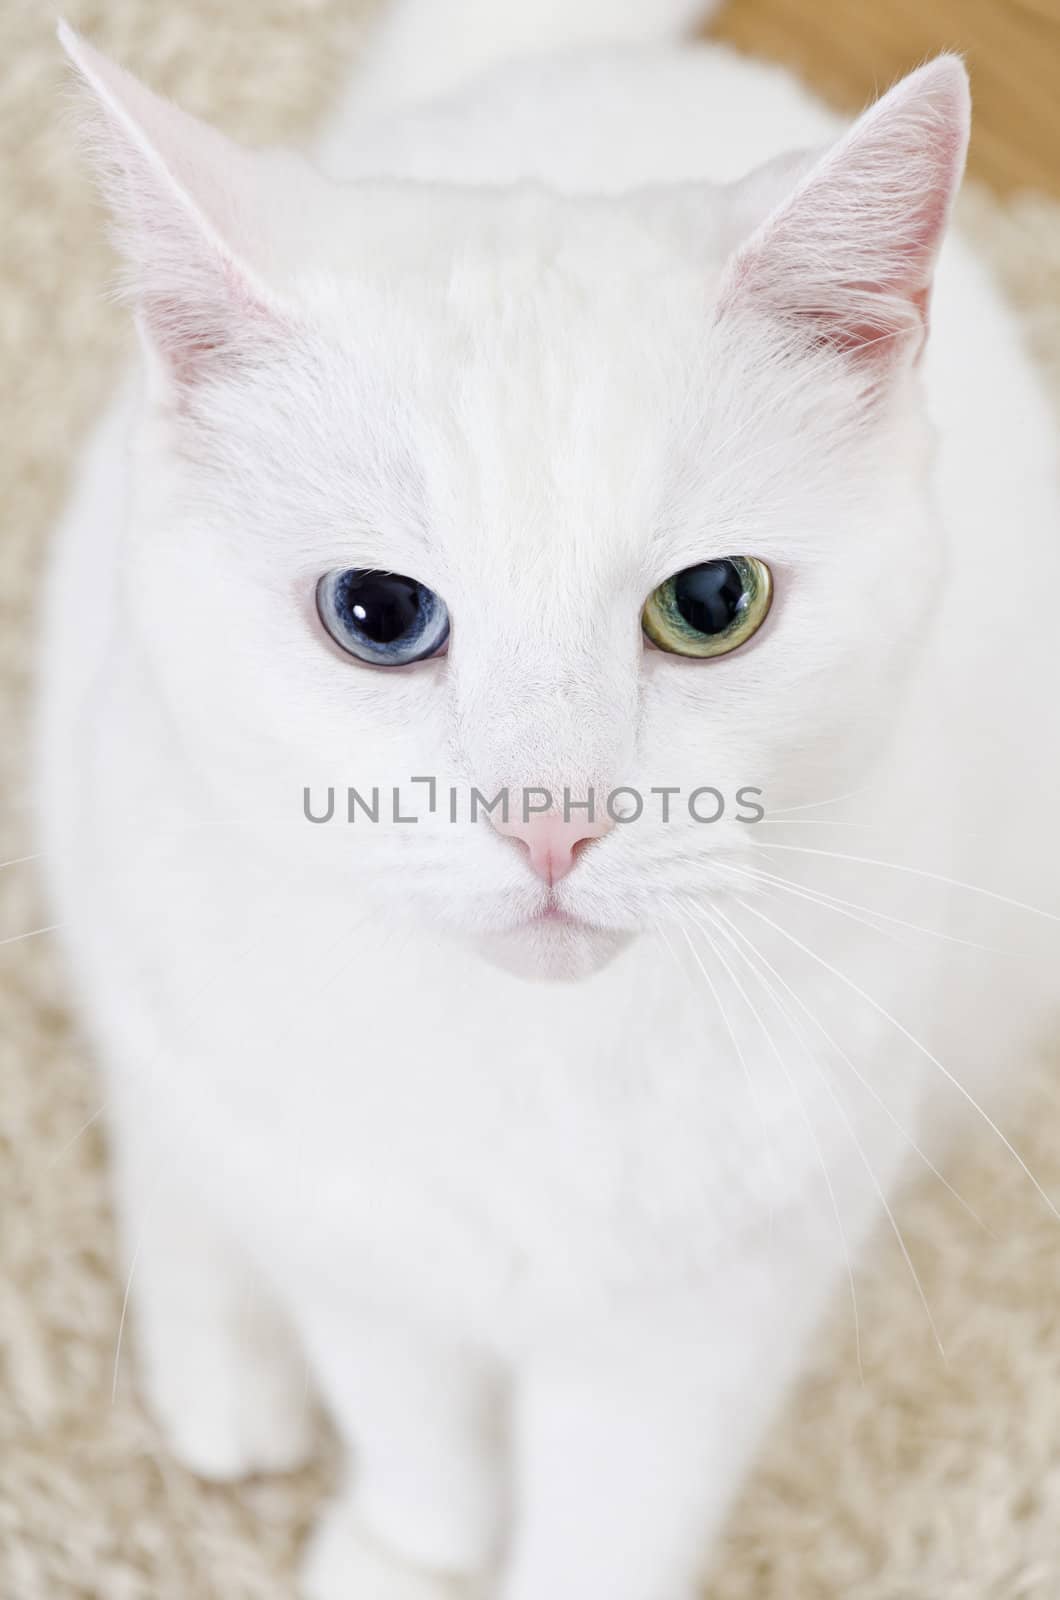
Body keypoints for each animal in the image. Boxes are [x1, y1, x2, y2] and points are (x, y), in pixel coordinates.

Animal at [37, 3, 1060, 1600]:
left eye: (713, 603)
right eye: (377, 612)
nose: (550, 822)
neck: (532, 1063)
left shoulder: (700, 1334)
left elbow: (607, 1525)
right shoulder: (373, 1263)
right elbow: (421, 1439)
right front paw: (409, 1554)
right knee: (167, 1118)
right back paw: (224, 1369)